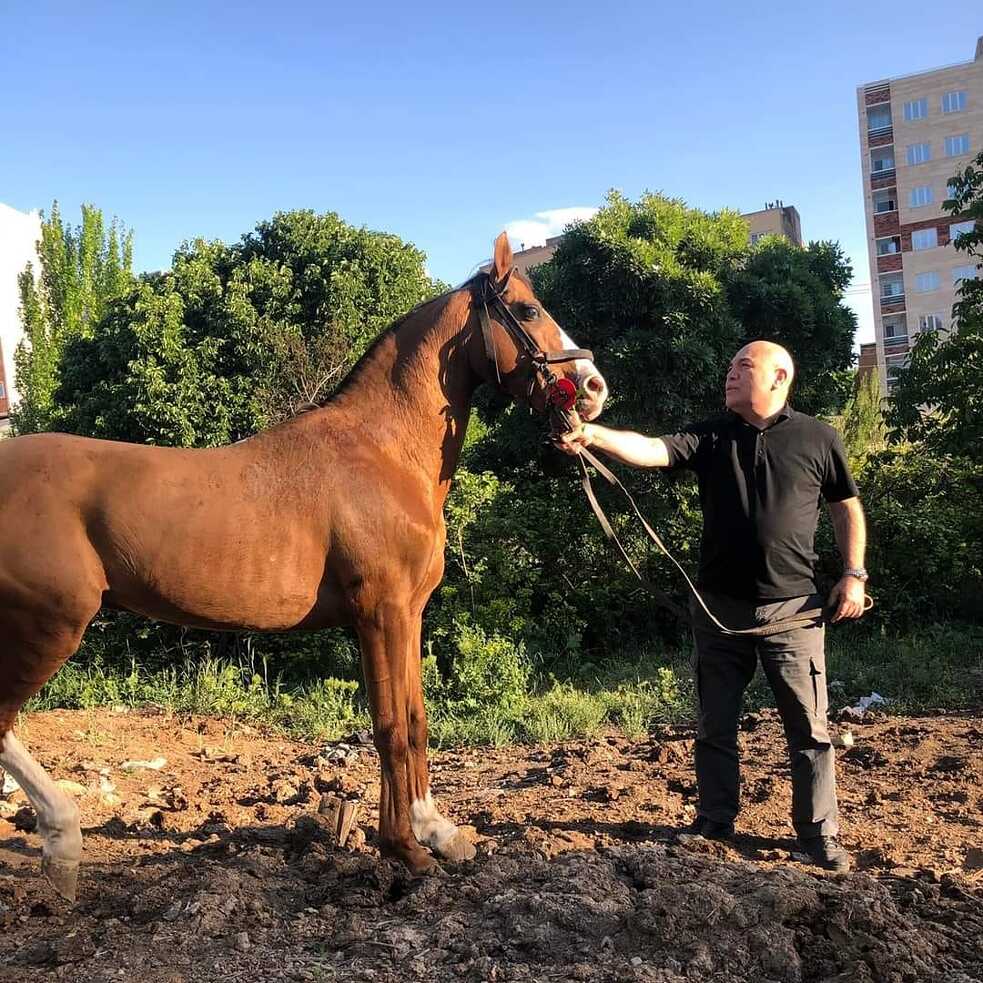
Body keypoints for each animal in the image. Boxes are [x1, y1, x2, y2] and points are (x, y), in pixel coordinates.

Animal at [0, 232, 608, 901]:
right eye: (527, 310)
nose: (594, 386)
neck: (382, 452)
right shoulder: (381, 613)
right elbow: (390, 728)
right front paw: (406, 850)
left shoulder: (408, 614)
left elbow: (416, 720)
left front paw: (439, 833)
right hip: (49, 623)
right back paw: (63, 844)